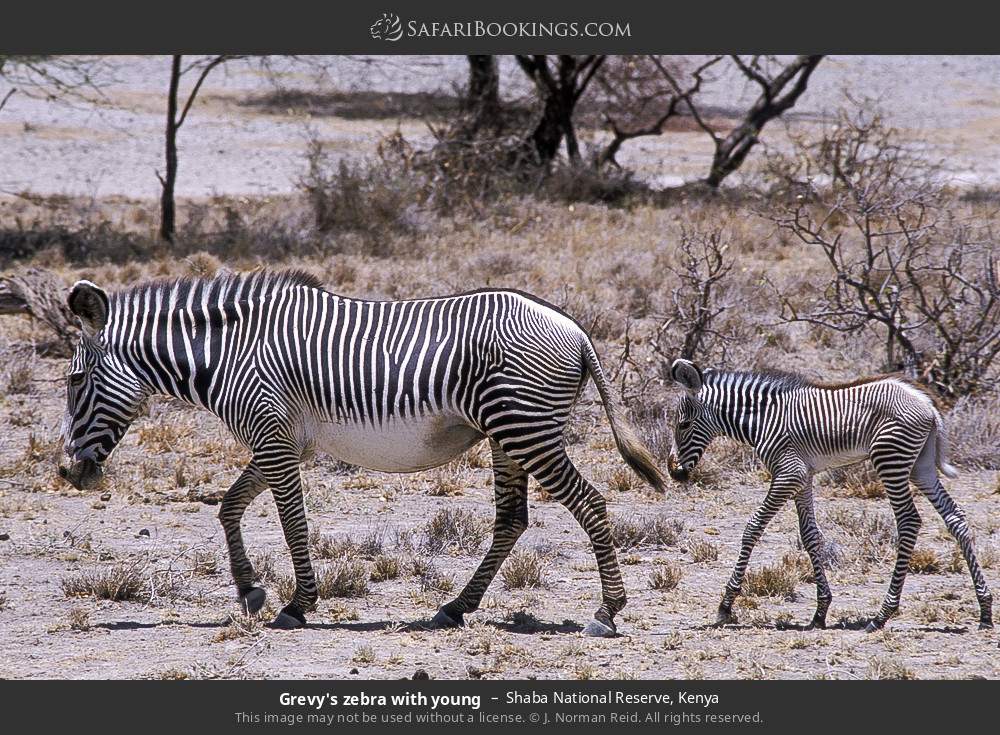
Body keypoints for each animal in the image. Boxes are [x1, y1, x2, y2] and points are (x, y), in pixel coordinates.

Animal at [58, 269, 666, 636]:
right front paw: (251, 591)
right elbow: (229, 506)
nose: (66, 473)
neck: (230, 353)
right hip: (509, 434)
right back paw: (455, 608)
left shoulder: (273, 438)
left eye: (75, 380)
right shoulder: (282, 440)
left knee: (590, 504)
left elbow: (292, 523)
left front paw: (297, 605)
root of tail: (576, 329)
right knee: (512, 519)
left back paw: (606, 613)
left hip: (526, 428)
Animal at [666, 358, 993, 632]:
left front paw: (726, 606)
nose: (674, 473)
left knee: (910, 522)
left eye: (683, 424)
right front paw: (820, 612)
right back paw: (985, 611)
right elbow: (810, 536)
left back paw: (881, 616)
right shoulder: (803, 476)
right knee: (955, 518)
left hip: (890, 459)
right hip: (920, 467)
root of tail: (928, 405)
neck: (762, 419)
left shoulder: (789, 473)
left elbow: (753, 528)